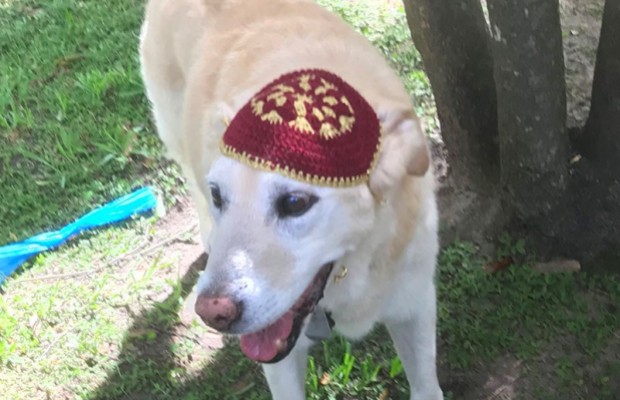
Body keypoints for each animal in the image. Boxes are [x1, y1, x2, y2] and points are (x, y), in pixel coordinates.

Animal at [139, 0, 444, 400]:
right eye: (219, 194)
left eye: (295, 202)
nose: (213, 312)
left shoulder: (414, 304)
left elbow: (427, 386)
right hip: (173, 129)